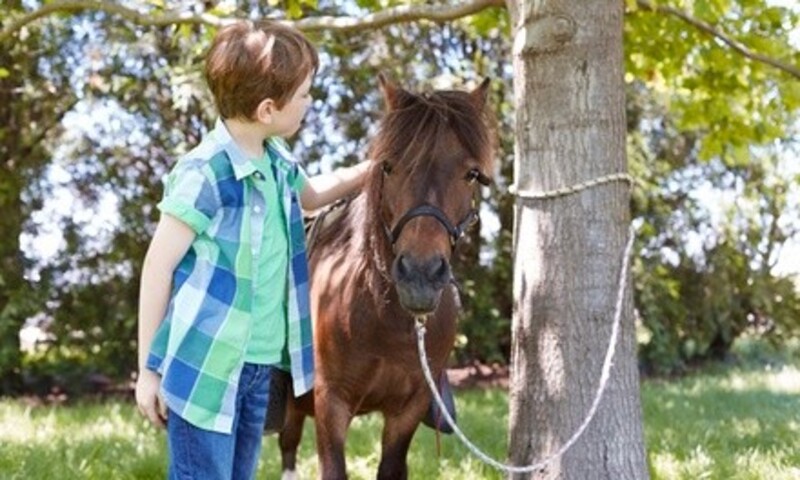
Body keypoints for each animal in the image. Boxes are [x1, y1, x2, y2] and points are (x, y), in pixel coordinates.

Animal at [279, 74, 495, 480]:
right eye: (389, 166)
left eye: (471, 173)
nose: (420, 275)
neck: (386, 320)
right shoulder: (331, 403)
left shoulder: (408, 408)